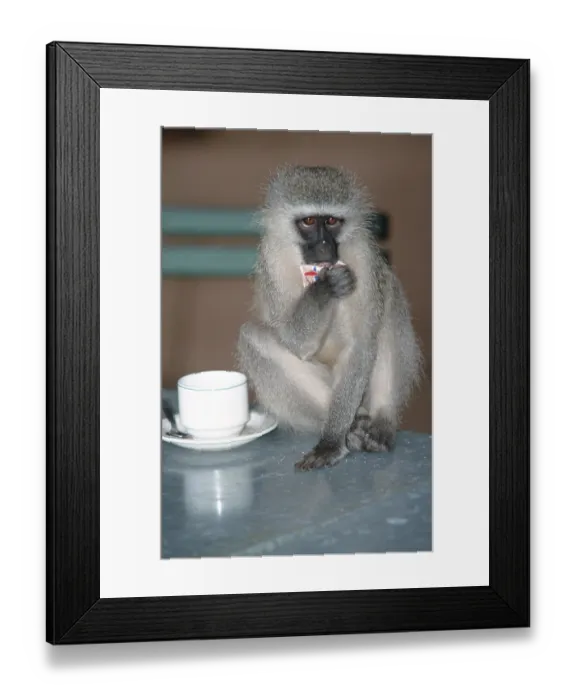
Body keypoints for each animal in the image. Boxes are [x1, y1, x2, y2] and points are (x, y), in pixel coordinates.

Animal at [236, 164, 423, 471]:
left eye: (333, 221)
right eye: (309, 221)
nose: (324, 245)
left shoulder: (364, 255)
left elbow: (361, 345)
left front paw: (332, 442)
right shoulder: (272, 257)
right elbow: (294, 341)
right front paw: (324, 288)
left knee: (388, 300)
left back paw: (380, 421)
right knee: (253, 337)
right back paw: (353, 426)